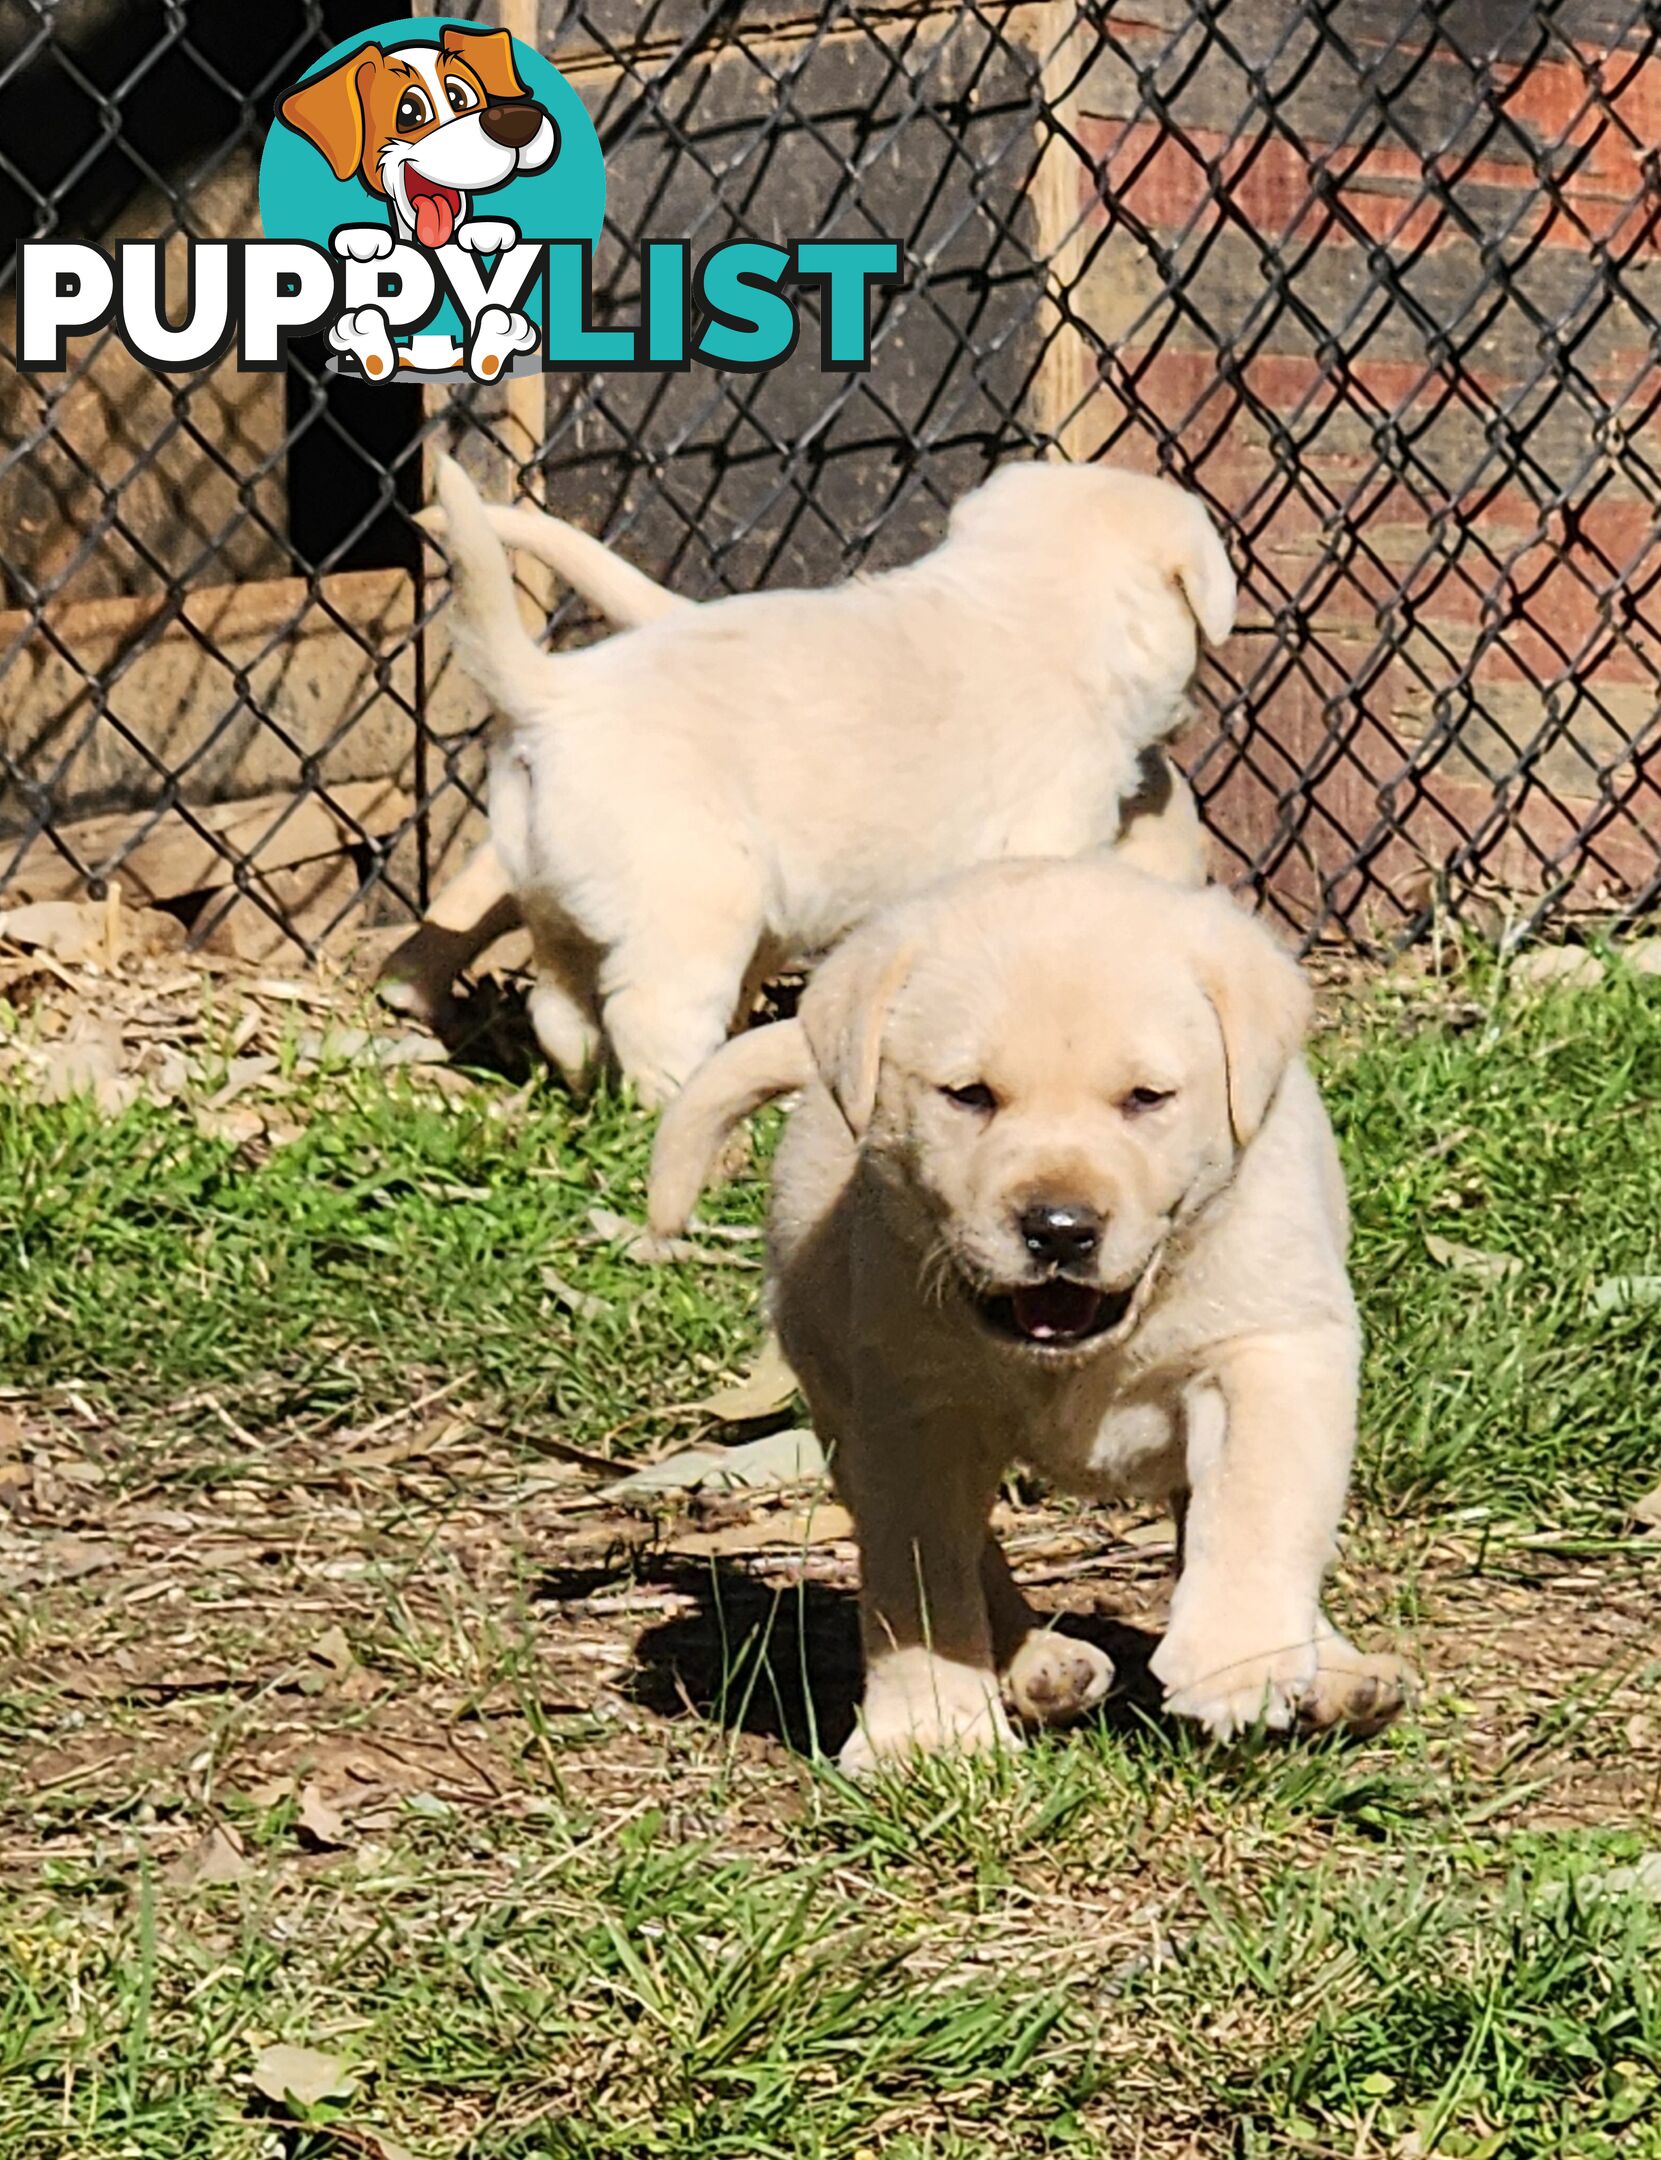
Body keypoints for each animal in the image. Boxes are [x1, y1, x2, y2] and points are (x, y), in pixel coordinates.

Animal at [427, 449, 1226, 1105]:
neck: (1024, 601)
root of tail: (553, 694)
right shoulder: (1050, 831)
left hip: (553, 899)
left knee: (559, 1007)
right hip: (690, 909)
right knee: (655, 1021)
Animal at [647, 859, 1399, 1771]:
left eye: (1146, 1098)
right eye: (969, 1096)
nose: (1060, 1228)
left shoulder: (1270, 1347)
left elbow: (1258, 1503)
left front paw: (1239, 1662)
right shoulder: (914, 1409)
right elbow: (921, 1578)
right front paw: (929, 1729)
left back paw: (1334, 1672)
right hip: (832, 1385)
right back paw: (1036, 1664)